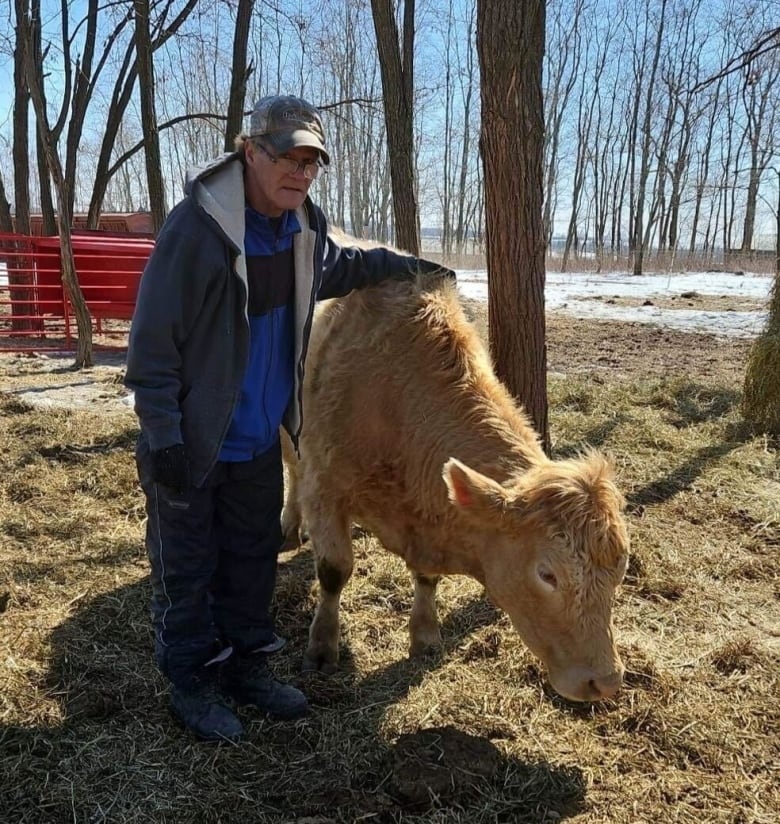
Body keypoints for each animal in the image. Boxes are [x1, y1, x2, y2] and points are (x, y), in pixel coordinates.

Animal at [284, 278, 632, 700]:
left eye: (621, 567)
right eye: (547, 574)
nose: (606, 681)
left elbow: (426, 578)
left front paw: (425, 637)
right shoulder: (325, 486)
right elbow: (334, 570)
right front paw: (322, 647)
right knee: (291, 473)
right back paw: (289, 527)